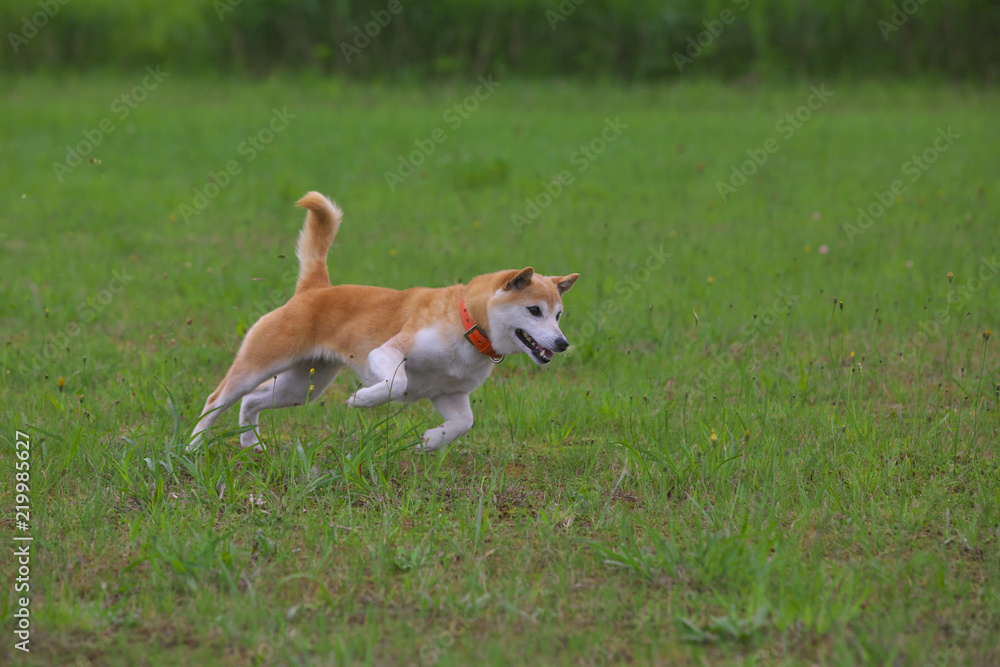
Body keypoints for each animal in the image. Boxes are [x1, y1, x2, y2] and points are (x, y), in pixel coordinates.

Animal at [188, 193, 580, 454]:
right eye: (534, 310)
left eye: (558, 315)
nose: (562, 344)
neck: (467, 324)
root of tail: (315, 288)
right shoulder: (388, 351)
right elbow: (397, 383)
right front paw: (362, 400)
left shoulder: (449, 394)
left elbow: (463, 423)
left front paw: (431, 441)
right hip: (260, 362)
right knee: (217, 399)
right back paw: (192, 447)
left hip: (303, 387)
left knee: (251, 401)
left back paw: (250, 443)